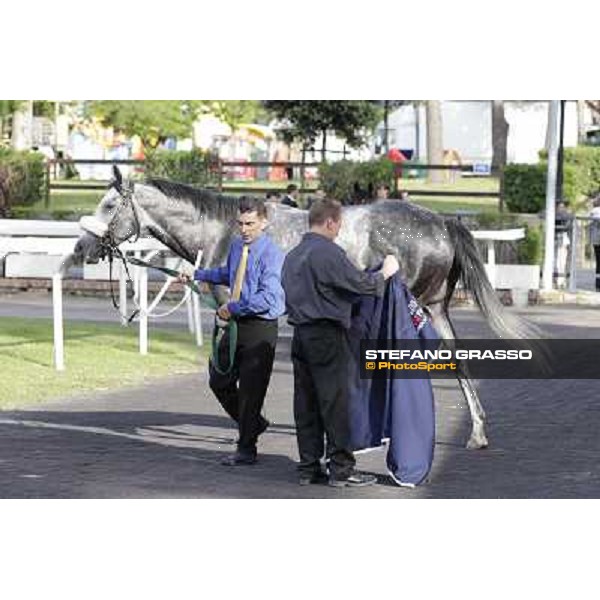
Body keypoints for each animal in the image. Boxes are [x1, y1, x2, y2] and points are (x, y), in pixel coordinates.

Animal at [68, 166, 536, 448]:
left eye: (107, 206)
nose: (82, 247)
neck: (223, 230)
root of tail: (443, 221)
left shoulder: (237, 313)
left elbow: (234, 373)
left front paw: (250, 424)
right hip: (435, 308)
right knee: (457, 363)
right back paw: (474, 432)